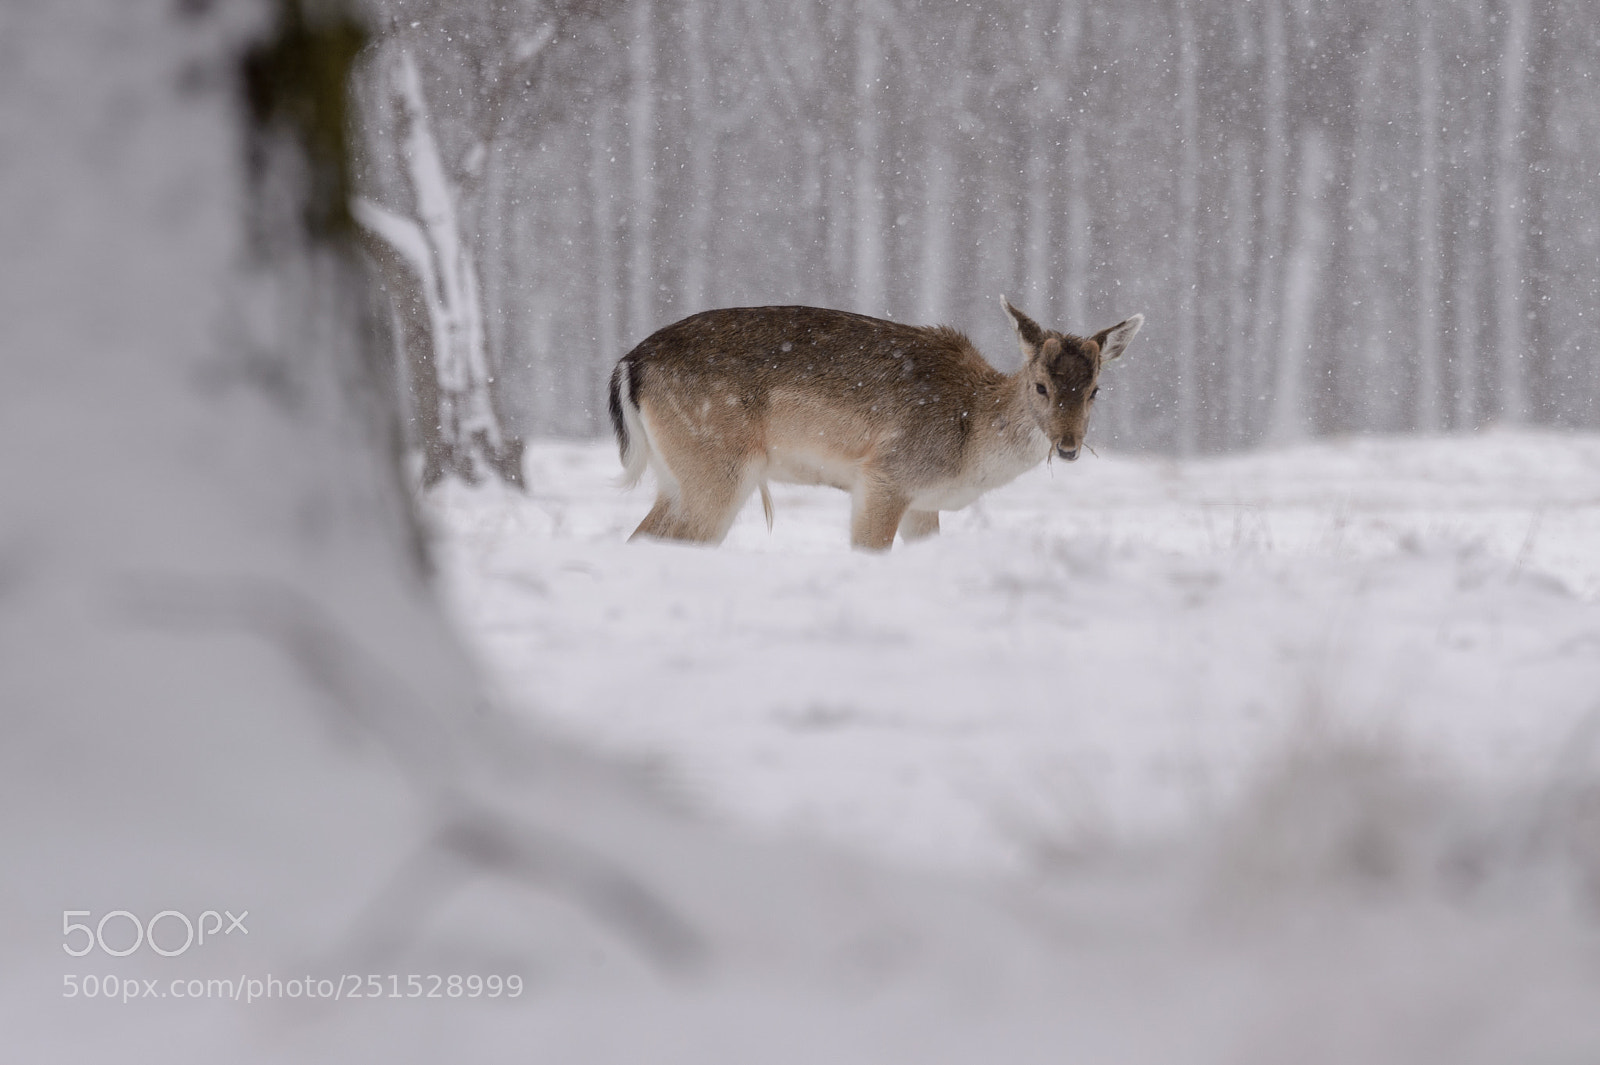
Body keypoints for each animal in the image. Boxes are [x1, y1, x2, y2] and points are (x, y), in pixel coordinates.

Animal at [607, 299, 1143, 550]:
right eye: (1041, 387)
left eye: (1095, 389)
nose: (1069, 446)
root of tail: (630, 363)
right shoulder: (885, 476)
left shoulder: (924, 503)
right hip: (717, 467)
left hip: (676, 476)